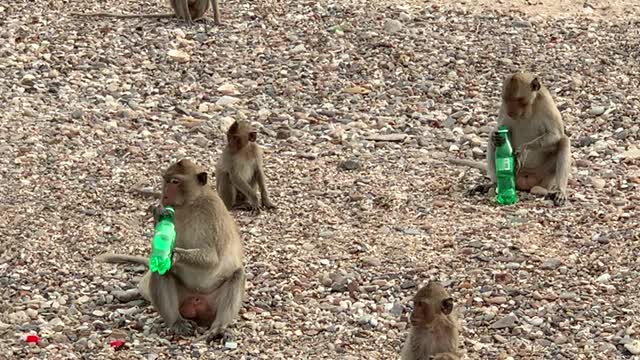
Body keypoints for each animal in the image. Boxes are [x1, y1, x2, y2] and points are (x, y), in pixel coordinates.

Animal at [96, 159, 244, 342]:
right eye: (165, 180)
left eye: (175, 182)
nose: (164, 195)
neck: (189, 204)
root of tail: (197, 301)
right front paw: (159, 217)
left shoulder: (212, 212)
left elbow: (213, 258)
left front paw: (173, 255)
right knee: (161, 272)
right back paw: (176, 322)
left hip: (213, 301)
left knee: (237, 274)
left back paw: (219, 328)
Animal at [448, 71, 572, 205]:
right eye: (507, 100)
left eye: (518, 100)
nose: (510, 110)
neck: (527, 110)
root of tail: (524, 181)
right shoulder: (503, 106)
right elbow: (498, 130)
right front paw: (498, 138)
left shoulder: (546, 103)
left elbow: (556, 134)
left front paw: (523, 149)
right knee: (492, 140)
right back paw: (494, 184)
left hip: (545, 180)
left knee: (564, 141)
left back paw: (560, 191)